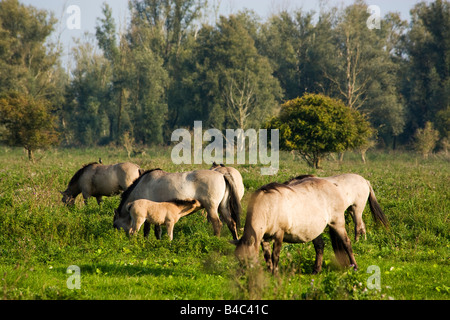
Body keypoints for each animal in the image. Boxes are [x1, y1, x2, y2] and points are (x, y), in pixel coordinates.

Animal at [114, 169, 244, 239]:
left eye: (115, 224)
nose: (121, 238)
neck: (143, 184)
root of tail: (223, 175)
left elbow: (147, 230)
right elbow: (157, 230)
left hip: (211, 208)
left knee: (217, 224)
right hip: (223, 207)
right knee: (231, 223)